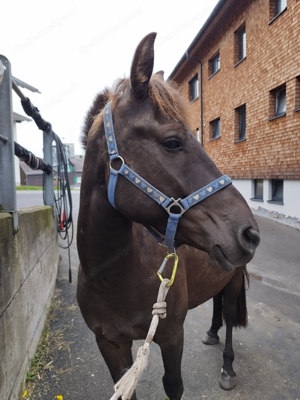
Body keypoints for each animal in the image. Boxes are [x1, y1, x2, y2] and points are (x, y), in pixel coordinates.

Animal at [77, 32, 260, 398]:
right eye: (173, 142)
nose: (249, 232)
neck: (110, 274)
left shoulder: (172, 336)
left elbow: (173, 386)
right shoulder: (110, 344)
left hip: (234, 279)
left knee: (230, 317)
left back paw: (227, 365)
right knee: (217, 305)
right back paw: (212, 333)